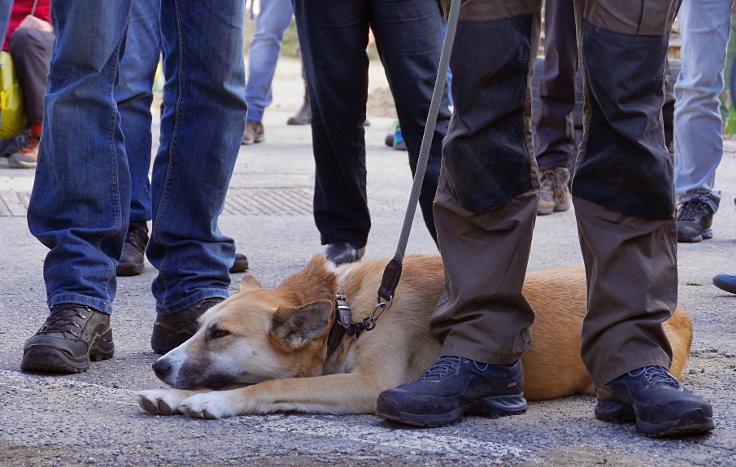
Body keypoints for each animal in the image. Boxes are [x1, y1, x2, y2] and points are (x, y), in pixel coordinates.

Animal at [139, 256, 696, 420]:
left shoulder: (372, 386)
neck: (348, 312)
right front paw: (173, 395)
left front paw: (214, 401)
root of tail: (679, 308)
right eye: (199, 328)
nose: (158, 367)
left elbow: (266, 386)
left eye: (221, 333)